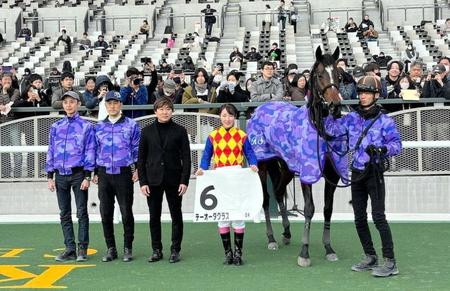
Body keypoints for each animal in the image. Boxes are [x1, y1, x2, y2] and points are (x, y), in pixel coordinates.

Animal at [244, 46, 346, 268]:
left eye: (338, 75)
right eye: (319, 75)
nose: (334, 105)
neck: (319, 130)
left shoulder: (332, 176)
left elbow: (327, 209)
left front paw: (329, 249)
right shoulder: (307, 173)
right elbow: (309, 209)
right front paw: (304, 253)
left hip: (286, 168)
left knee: (279, 190)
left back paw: (287, 232)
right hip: (263, 164)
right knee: (266, 199)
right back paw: (272, 239)